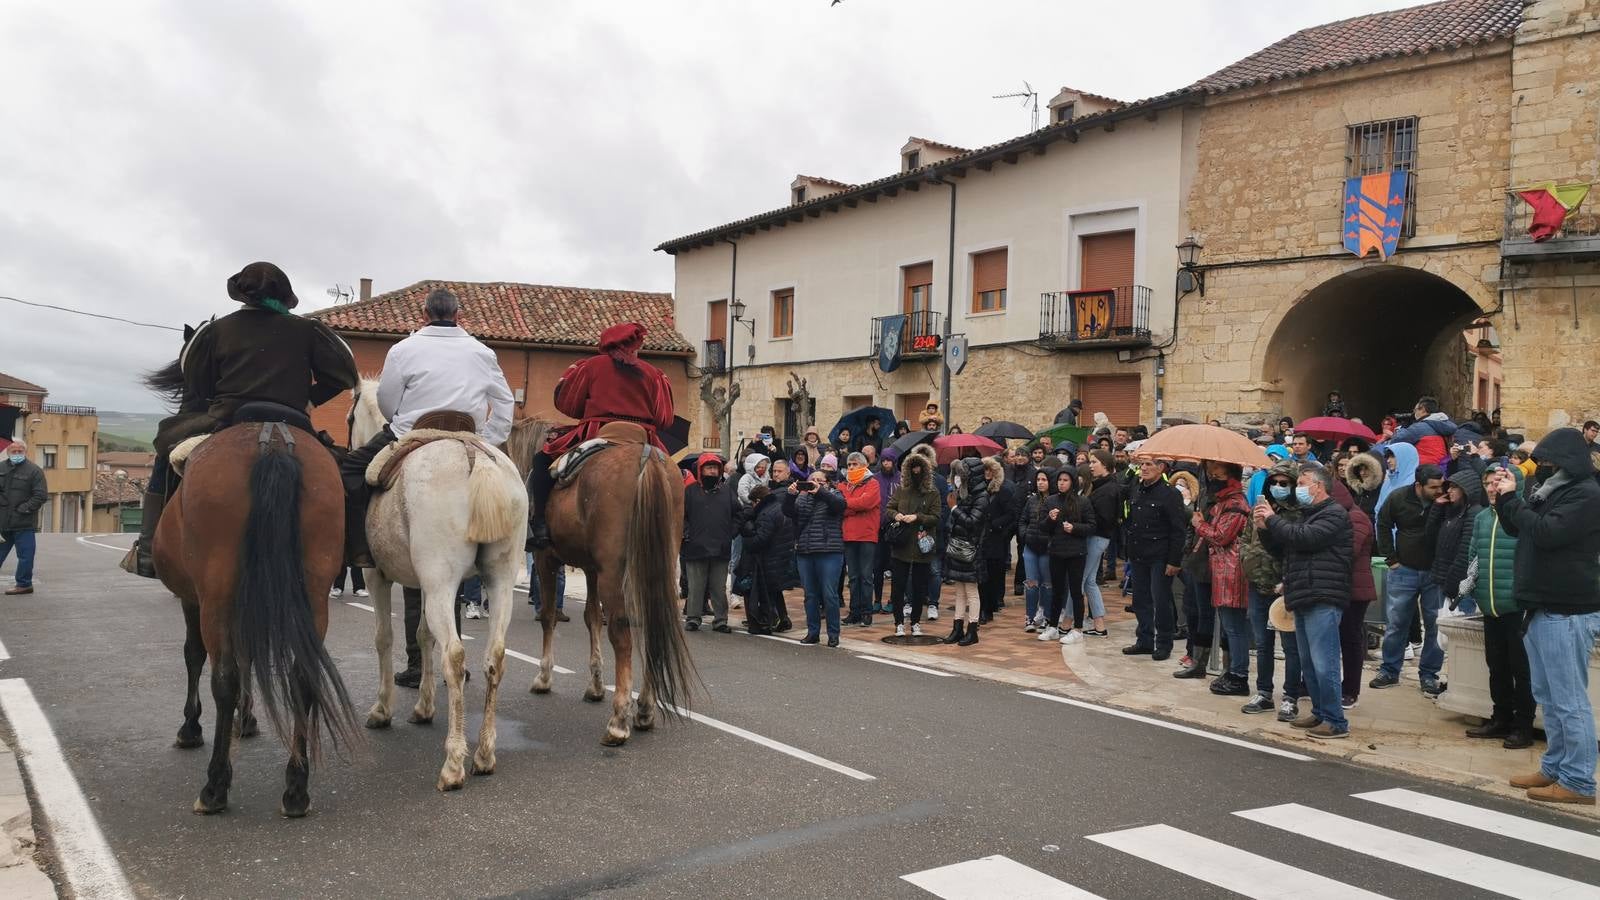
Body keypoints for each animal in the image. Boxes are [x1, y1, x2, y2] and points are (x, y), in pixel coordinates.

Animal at [153, 416, 360, 816]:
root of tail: (274, 441)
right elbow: (248, 655)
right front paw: (246, 719)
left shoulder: (193, 598)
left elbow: (194, 655)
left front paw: (192, 727)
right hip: (313, 595)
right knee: (302, 678)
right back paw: (296, 788)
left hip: (216, 595)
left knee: (224, 678)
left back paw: (215, 787)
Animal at [348, 374, 524, 787]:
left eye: (349, 419)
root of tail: (476, 458)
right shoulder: (425, 584)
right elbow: (423, 634)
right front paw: (424, 706)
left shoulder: (377, 577)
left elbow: (385, 637)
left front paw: (382, 709)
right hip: (497, 582)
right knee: (494, 656)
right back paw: (484, 754)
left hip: (441, 583)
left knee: (455, 657)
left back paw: (454, 763)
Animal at [505, 419, 694, 743]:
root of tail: (647, 460)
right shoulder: (592, 569)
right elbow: (592, 616)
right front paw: (594, 685)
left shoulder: (546, 560)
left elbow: (549, 616)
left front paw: (544, 677)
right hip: (655, 567)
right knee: (650, 622)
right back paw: (644, 709)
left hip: (615, 573)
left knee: (621, 632)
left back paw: (619, 720)